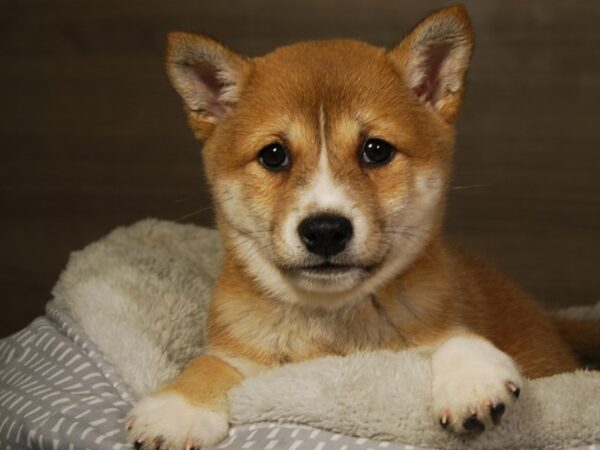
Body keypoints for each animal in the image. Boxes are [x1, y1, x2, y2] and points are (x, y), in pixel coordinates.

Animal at [125, 7, 592, 450]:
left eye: (376, 150)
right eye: (274, 155)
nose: (325, 230)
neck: (333, 328)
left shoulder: (434, 326)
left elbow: (456, 337)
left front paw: (472, 380)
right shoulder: (242, 352)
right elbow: (207, 364)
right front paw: (177, 407)